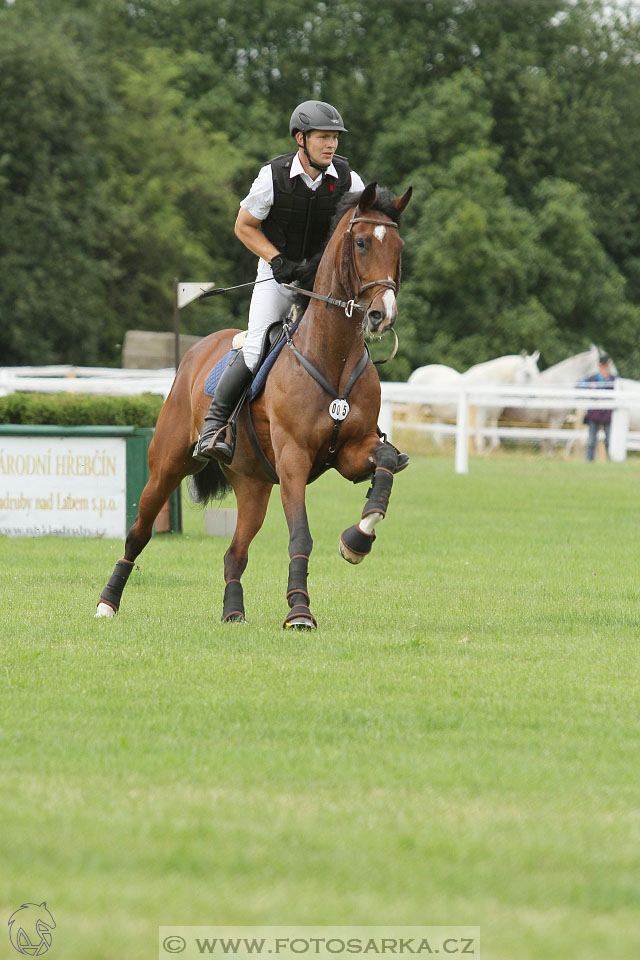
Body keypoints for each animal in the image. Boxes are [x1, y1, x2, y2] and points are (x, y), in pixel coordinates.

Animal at [97, 182, 412, 632]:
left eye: (399, 248)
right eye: (363, 242)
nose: (381, 315)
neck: (332, 355)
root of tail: (196, 350)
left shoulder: (351, 452)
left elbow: (384, 460)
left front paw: (358, 539)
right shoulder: (294, 457)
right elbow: (301, 533)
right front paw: (299, 611)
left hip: (253, 484)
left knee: (235, 552)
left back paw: (233, 612)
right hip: (169, 463)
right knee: (138, 532)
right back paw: (107, 602)